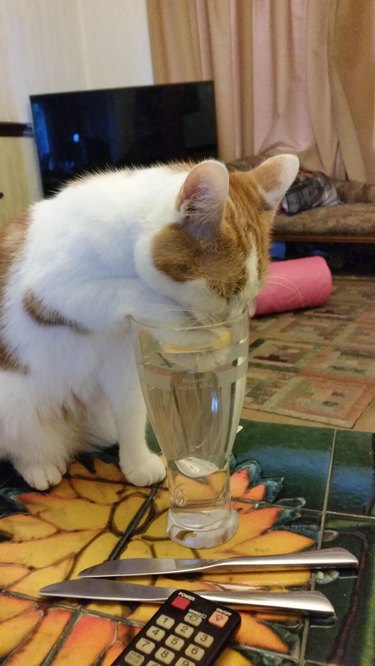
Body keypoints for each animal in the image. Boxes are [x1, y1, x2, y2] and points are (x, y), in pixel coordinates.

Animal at [0, 154, 300, 488]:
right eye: (221, 292)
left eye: (250, 296)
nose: (228, 322)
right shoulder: (48, 292)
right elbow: (135, 289)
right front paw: (195, 338)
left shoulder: (121, 363)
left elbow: (130, 412)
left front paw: (137, 462)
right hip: (14, 404)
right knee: (22, 442)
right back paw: (39, 465)